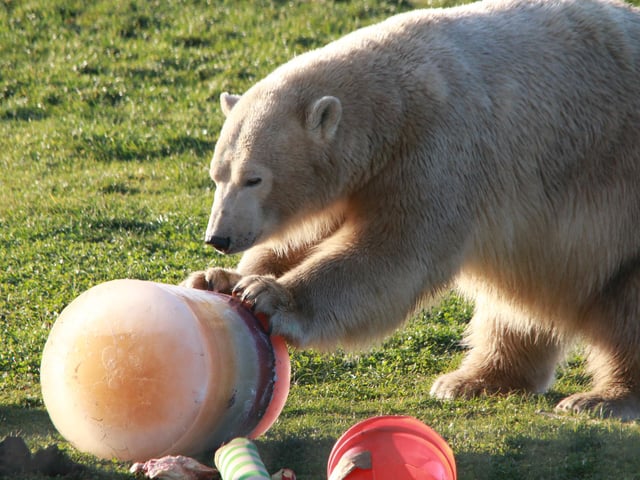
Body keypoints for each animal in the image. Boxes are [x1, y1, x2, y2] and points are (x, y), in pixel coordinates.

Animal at [182, 0, 640, 419]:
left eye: (253, 178)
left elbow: (394, 252)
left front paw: (268, 297)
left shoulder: (440, 147)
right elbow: (306, 238)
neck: (394, 100)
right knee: (516, 306)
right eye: (216, 175)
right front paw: (219, 278)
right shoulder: (364, 177)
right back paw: (473, 380)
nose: (218, 237)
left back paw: (603, 398)